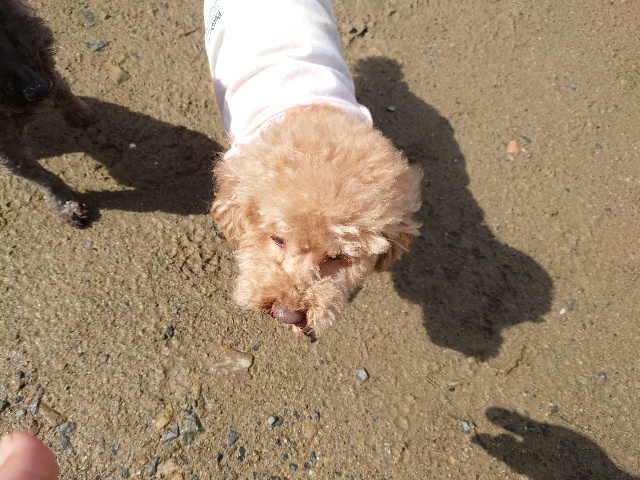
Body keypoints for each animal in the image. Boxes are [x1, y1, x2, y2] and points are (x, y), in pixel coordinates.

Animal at [0, 0, 96, 227]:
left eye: (4, 15)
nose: (37, 89)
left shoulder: (46, 69)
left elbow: (64, 91)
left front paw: (82, 116)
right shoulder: (7, 150)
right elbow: (41, 176)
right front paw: (67, 204)